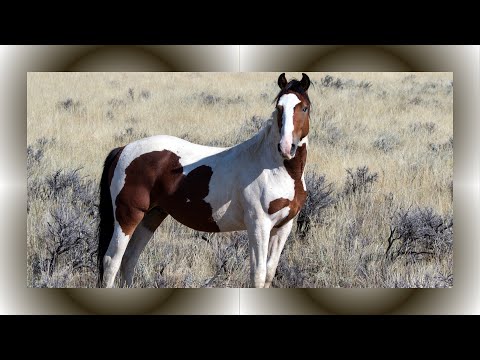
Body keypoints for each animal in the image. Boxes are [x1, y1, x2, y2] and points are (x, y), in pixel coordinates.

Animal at [97, 71, 312, 288]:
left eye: (304, 107)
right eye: (279, 107)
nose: (286, 147)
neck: (272, 167)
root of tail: (123, 149)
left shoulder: (283, 227)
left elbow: (268, 274)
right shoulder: (259, 225)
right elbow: (258, 275)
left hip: (151, 216)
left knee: (129, 260)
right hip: (127, 217)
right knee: (111, 261)